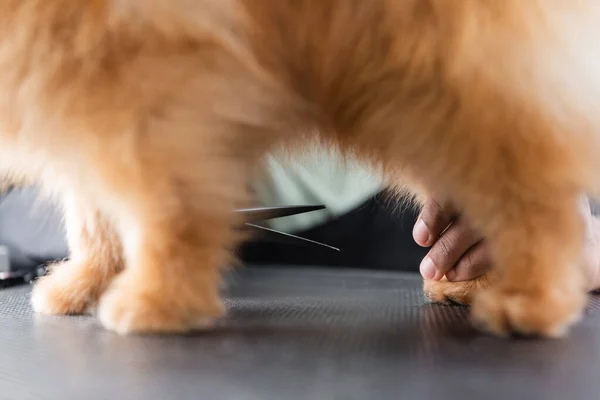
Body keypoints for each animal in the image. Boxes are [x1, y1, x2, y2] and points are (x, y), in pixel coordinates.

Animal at [1, 0, 600, 338]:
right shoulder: (89, 98)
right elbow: (93, 217)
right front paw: (84, 284)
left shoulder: (161, 96)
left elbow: (165, 214)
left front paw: (158, 299)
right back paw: (477, 284)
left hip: (433, 91)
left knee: (539, 197)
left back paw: (532, 302)